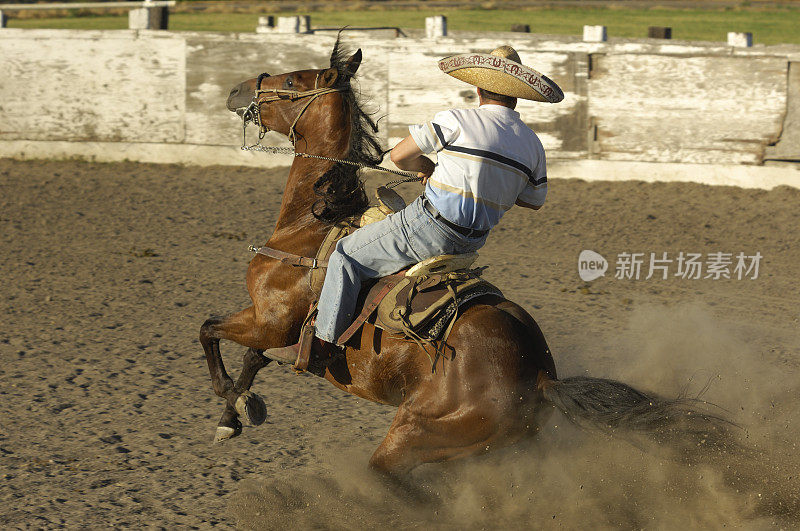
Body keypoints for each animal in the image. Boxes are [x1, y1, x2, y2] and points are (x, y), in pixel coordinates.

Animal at [203, 37, 736, 478]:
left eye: (293, 81)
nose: (236, 89)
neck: (312, 224)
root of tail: (537, 376)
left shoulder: (269, 322)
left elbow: (210, 330)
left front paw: (231, 406)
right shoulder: (268, 327)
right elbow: (247, 356)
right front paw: (236, 411)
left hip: (414, 435)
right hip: (467, 451)